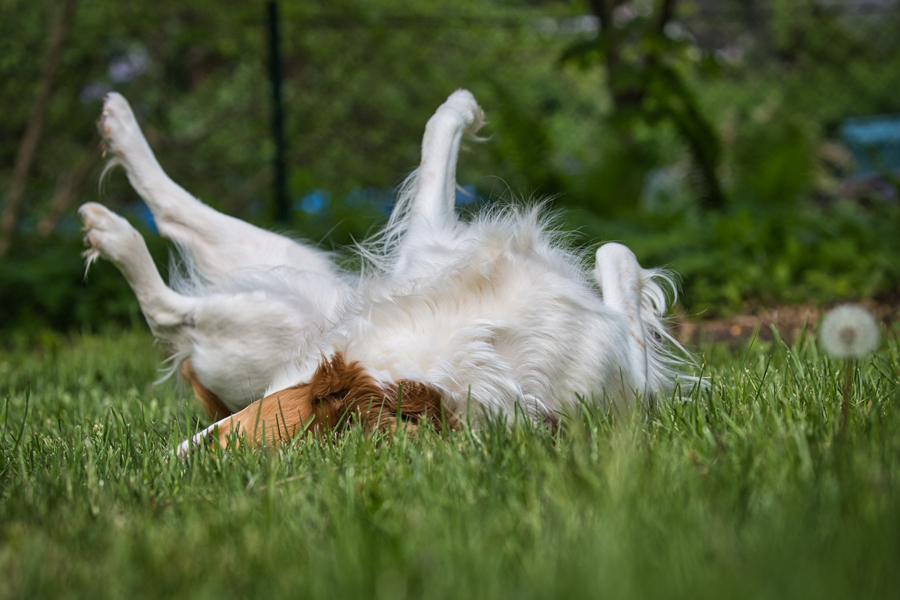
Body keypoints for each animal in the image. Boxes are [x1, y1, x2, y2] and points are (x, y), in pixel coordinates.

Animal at [81, 90, 692, 454]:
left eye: (241, 433)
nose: (183, 458)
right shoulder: (626, 372)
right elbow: (618, 255)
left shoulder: (428, 246)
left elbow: (435, 144)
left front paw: (461, 108)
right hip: (282, 300)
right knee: (168, 304)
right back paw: (114, 214)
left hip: (296, 288)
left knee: (176, 240)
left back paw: (113, 184)